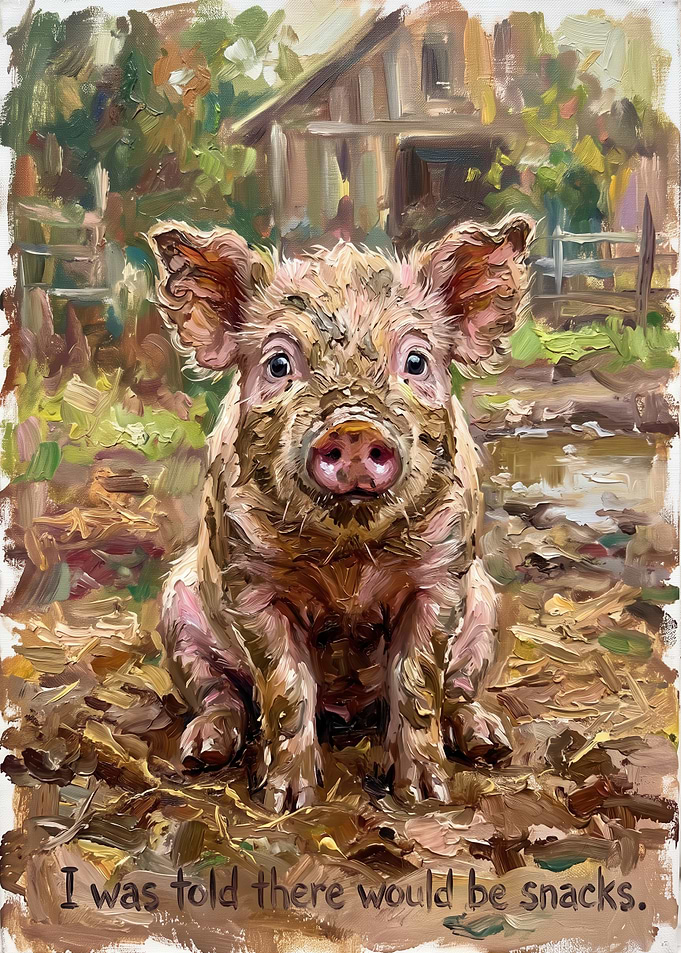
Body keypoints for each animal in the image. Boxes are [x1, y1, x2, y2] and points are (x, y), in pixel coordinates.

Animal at [148, 214, 533, 811]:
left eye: (416, 361)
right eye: (279, 363)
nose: (353, 429)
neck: (348, 559)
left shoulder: (441, 578)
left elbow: (418, 682)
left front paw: (425, 796)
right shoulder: (249, 585)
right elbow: (285, 688)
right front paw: (285, 802)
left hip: (486, 613)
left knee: (459, 690)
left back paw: (489, 743)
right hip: (177, 612)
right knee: (218, 694)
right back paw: (201, 752)